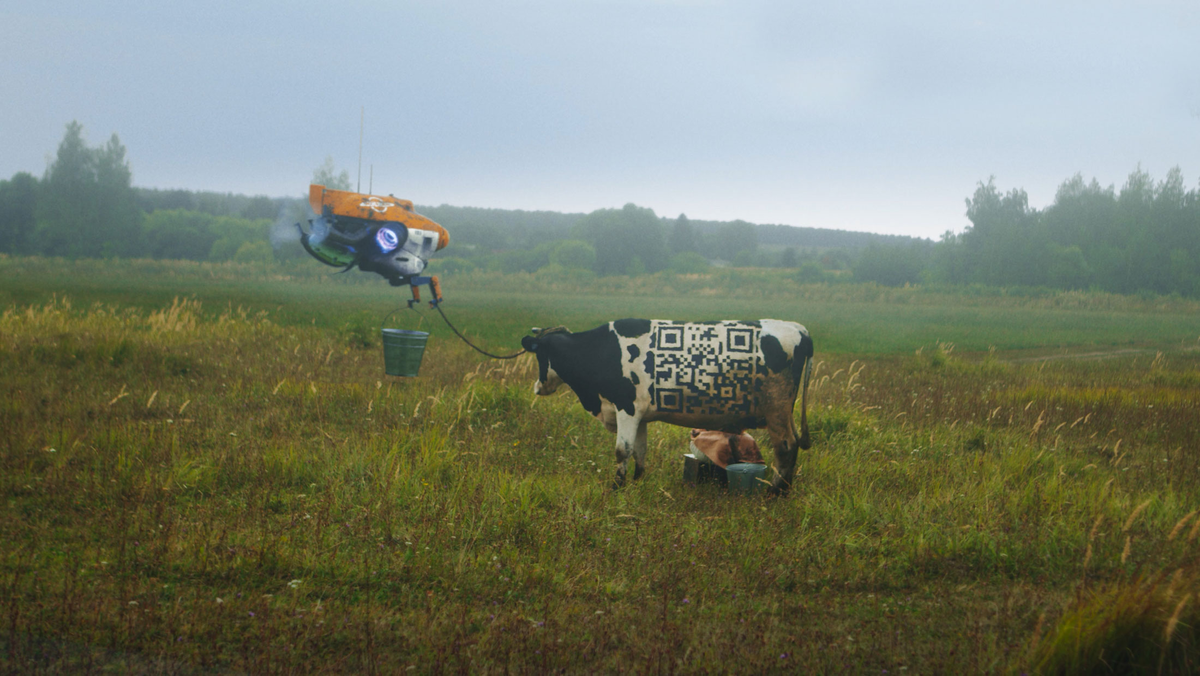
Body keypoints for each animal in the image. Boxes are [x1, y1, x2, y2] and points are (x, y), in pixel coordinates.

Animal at [520, 319, 811, 494]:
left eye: (540, 354)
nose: (537, 387)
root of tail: (800, 330)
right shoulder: (640, 415)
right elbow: (640, 451)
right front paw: (636, 483)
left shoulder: (626, 408)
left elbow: (622, 451)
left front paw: (616, 487)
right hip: (784, 411)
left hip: (776, 409)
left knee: (786, 447)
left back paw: (776, 492)